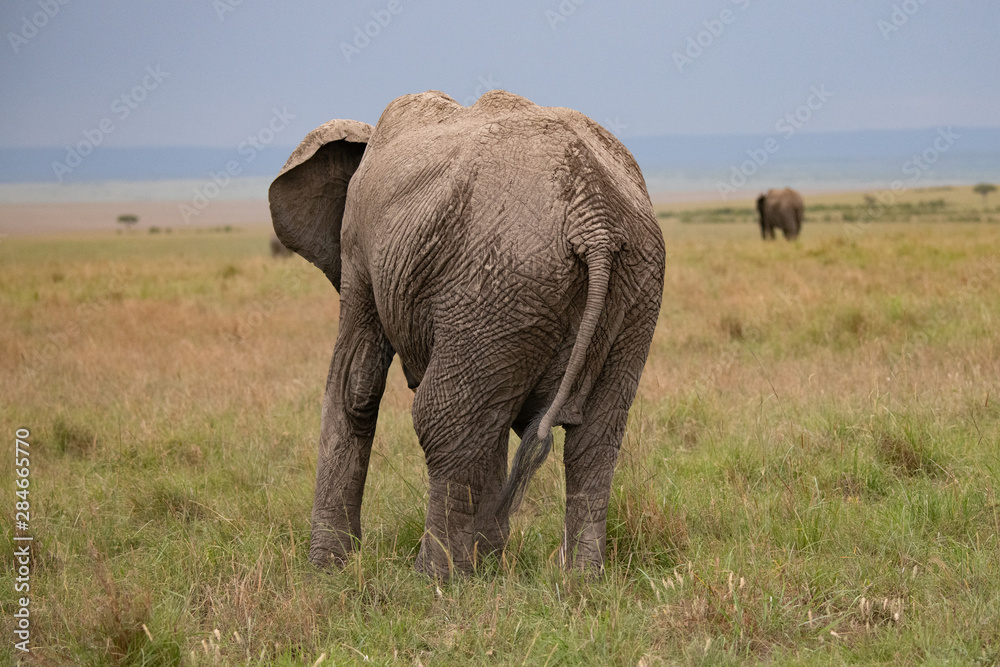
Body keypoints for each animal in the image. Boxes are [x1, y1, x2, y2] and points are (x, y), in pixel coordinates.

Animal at [269, 90, 665, 578]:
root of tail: (595, 221)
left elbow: (355, 387)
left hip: (500, 279)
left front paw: (327, 570)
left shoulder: (360, 247)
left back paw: (431, 579)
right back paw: (580, 580)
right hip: (623, 288)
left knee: (443, 425)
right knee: (593, 440)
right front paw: (488, 565)